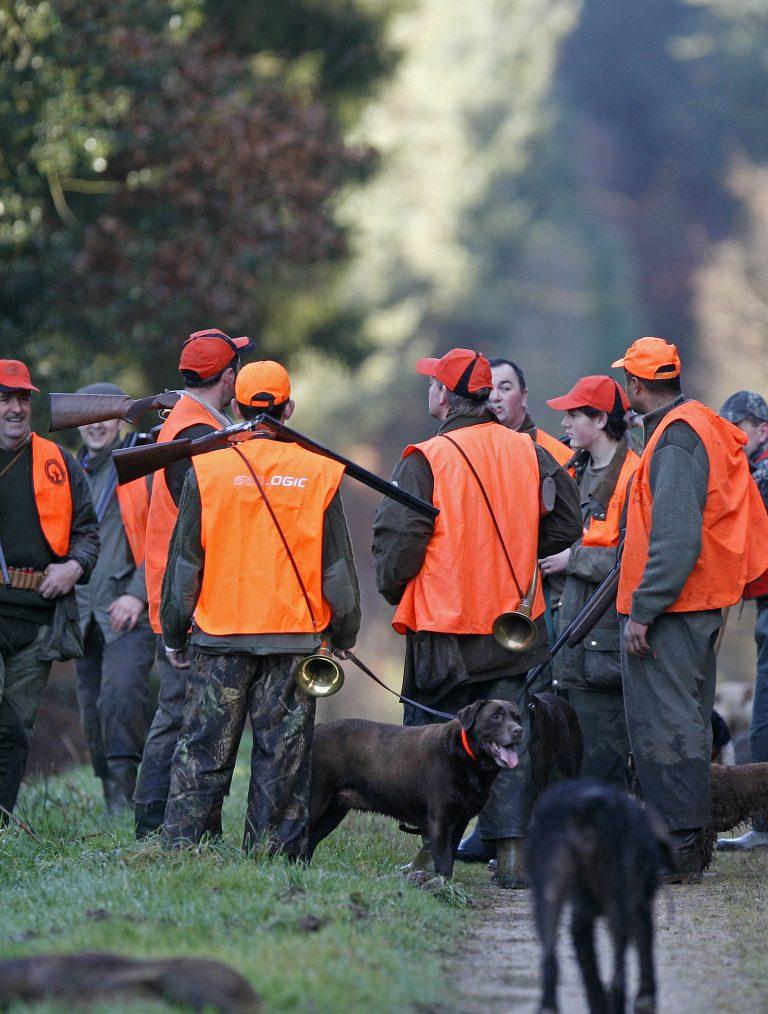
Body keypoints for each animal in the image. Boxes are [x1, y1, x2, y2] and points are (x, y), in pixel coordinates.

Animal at [304, 697, 519, 880]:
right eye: (495, 716)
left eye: (517, 717)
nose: (519, 730)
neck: (470, 760)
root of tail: (317, 728)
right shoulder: (440, 819)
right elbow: (443, 858)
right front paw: (442, 884)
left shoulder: (460, 822)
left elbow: (450, 856)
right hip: (317, 802)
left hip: (333, 812)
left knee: (307, 843)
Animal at [523, 778, 669, 1009]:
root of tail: (587, 805)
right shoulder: (640, 909)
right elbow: (644, 950)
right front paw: (645, 997)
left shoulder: (580, 922)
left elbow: (589, 970)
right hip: (618, 902)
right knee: (619, 975)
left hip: (548, 894)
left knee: (550, 958)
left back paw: (549, 1006)